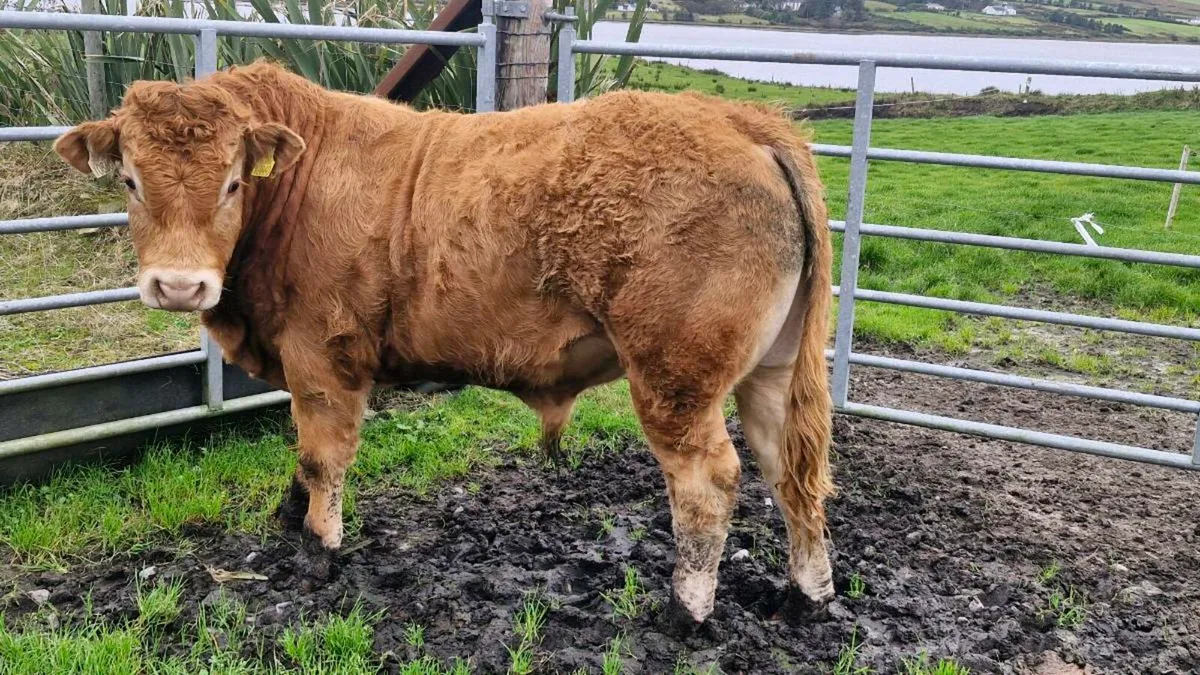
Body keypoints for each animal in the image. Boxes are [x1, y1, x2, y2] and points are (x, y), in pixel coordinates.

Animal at [53, 60, 834, 625]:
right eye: (130, 180)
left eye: (231, 182)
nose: (179, 285)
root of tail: (745, 120)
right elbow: (301, 457)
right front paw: (289, 517)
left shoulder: (322, 353)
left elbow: (321, 453)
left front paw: (317, 548)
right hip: (770, 371)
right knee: (790, 467)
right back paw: (807, 594)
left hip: (675, 378)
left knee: (710, 479)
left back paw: (686, 609)